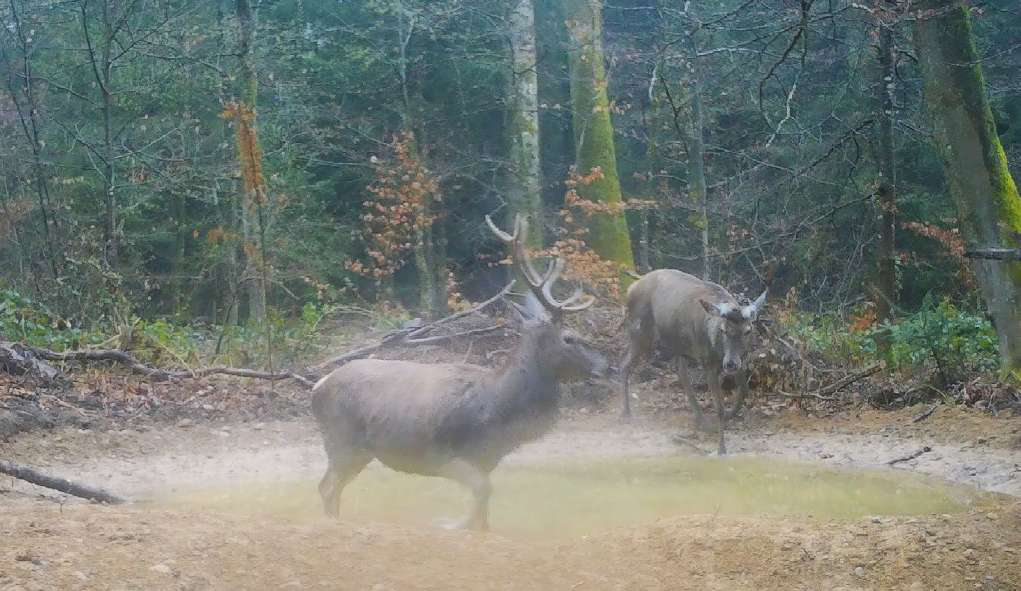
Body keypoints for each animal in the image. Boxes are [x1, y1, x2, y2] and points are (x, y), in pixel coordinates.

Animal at [310, 214, 604, 530]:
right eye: (569, 338)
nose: (603, 366)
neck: (499, 410)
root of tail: (318, 387)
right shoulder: (442, 456)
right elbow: (482, 492)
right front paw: (453, 525)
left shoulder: (487, 460)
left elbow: (484, 509)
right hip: (342, 441)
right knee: (327, 486)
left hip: (356, 450)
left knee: (333, 487)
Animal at [612, 271, 767, 455]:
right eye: (723, 330)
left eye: (748, 330)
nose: (730, 364)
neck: (718, 349)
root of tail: (630, 288)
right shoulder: (708, 362)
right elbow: (719, 408)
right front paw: (721, 448)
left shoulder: (741, 361)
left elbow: (743, 390)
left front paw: (730, 414)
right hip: (641, 331)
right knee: (625, 362)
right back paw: (626, 412)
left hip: (676, 343)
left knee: (681, 374)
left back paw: (701, 420)